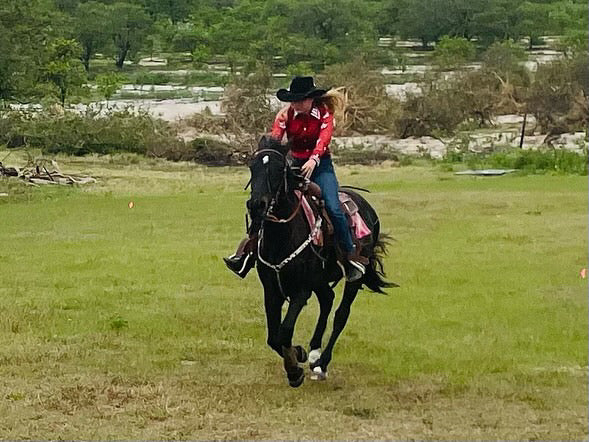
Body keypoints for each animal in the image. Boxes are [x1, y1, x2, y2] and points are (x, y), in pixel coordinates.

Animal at [246, 136, 392, 386]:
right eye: (252, 167)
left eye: (278, 169)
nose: (257, 206)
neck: (282, 237)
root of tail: (368, 208)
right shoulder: (271, 291)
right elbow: (274, 337)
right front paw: (300, 354)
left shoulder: (301, 290)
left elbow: (284, 331)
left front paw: (295, 370)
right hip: (320, 280)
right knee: (327, 299)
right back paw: (314, 352)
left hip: (353, 278)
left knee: (341, 315)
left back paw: (321, 363)